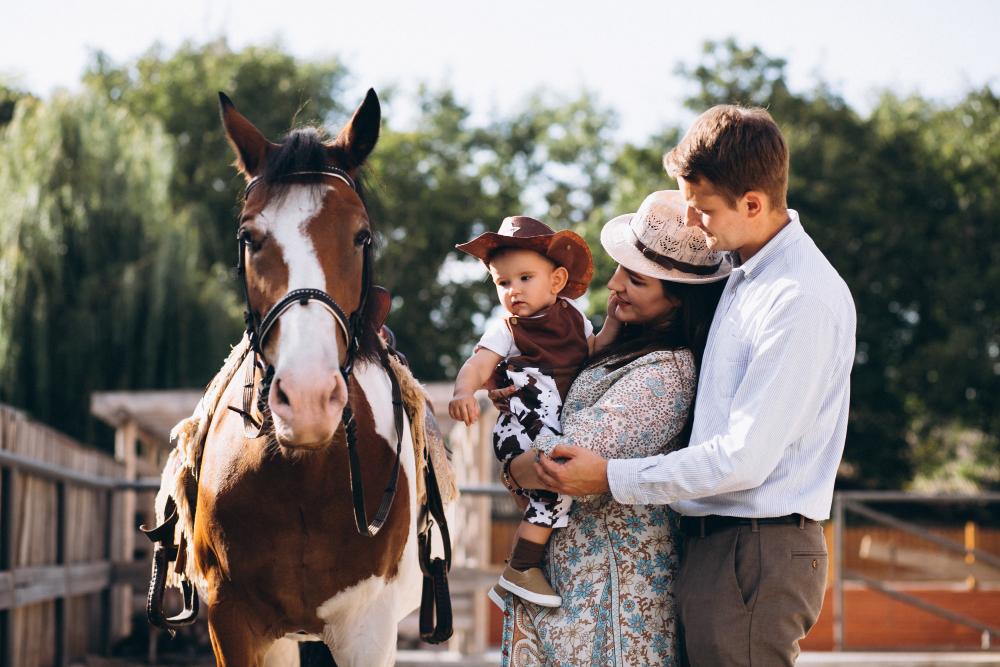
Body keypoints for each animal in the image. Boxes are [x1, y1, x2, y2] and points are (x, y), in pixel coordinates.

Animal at [143, 91, 456, 667]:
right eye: (249, 237)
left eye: (361, 236)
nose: (308, 399)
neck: (302, 479)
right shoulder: (235, 622)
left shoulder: (367, 628)